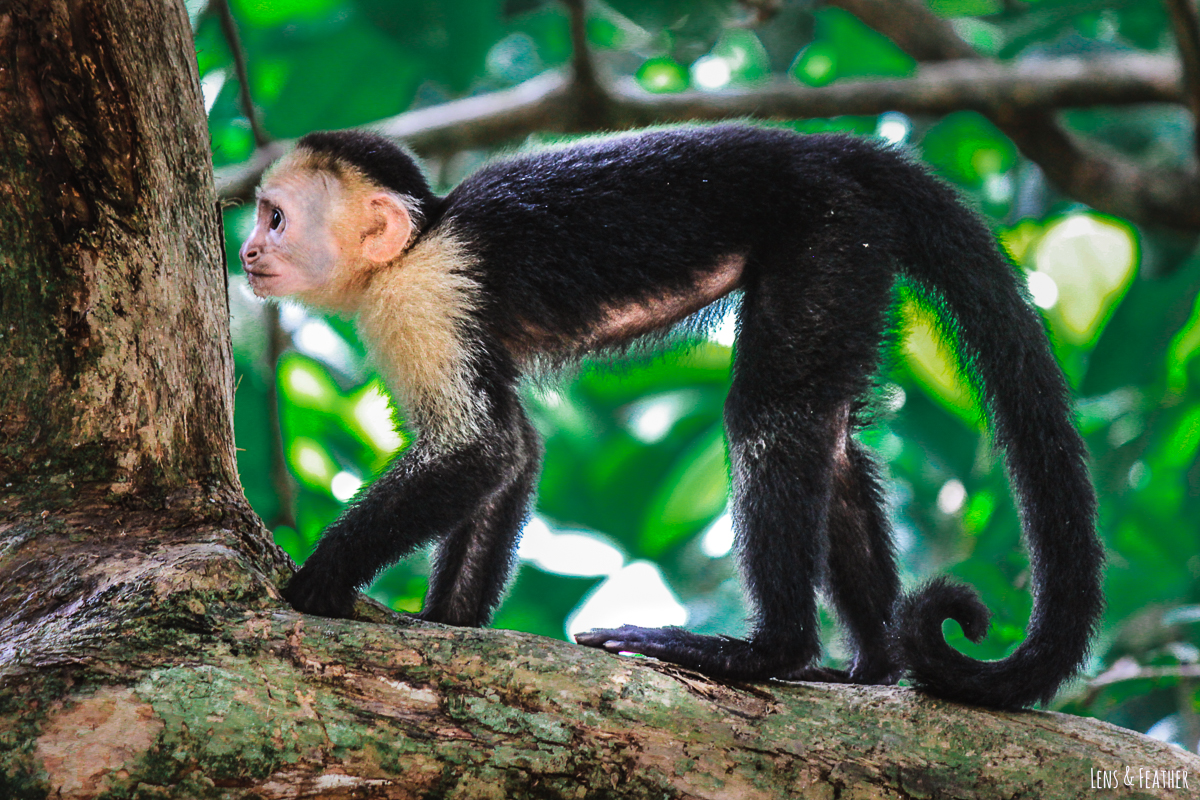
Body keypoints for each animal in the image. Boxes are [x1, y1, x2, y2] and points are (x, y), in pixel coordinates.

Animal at [238, 122, 1099, 710]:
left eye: (274, 218)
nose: (246, 252)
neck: (420, 240)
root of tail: (828, 148)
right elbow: (515, 449)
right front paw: (452, 625)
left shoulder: (422, 297)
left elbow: (480, 449)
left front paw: (318, 579)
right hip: (854, 246)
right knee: (828, 435)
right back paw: (874, 667)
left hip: (823, 228)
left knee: (771, 417)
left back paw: (766, 653)